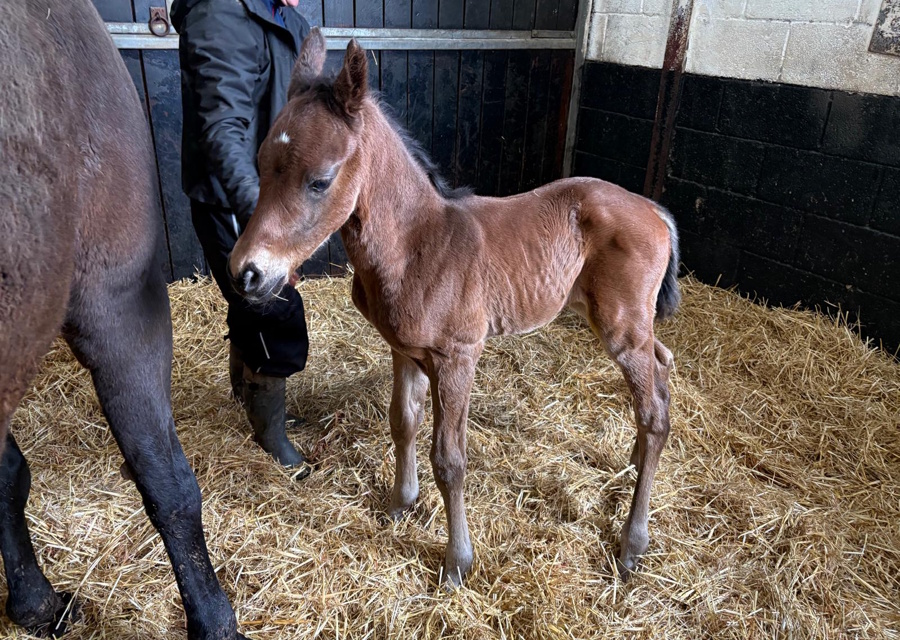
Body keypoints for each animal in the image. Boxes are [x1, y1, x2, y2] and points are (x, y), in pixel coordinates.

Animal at [228, 29, 680, 587]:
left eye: (320, 180)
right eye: (262, 165)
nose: (246, 273)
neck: (418, 244)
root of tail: (652, 208)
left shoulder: (457, 358)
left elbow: (450, 460)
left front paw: (456, 562)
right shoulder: (403, 349)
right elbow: (402, 422)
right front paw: (400, 504)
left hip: (621, 326)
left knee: (654, 410)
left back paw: (632, 543)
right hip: (611, 316)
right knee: (662, 364)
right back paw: (636, 457)